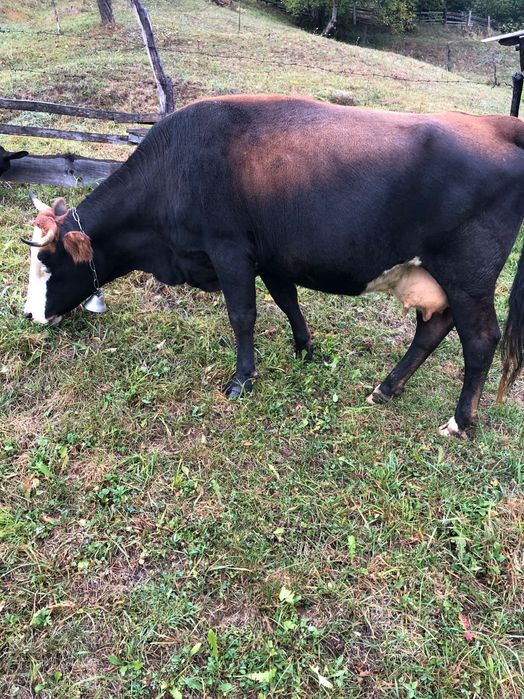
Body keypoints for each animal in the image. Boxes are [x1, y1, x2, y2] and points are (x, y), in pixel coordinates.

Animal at [20, 95, 524, 437]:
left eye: (47, 263)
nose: (27, 314)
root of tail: (498, 125)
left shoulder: (230, 250)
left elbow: (243, 315)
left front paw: (242, 377)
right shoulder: (271, 256)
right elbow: (287, 301)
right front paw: (305, 348)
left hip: (469, 276)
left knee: (481, 341)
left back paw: (459, 421)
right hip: (440, 277)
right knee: (432, 329)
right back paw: (386, 387)